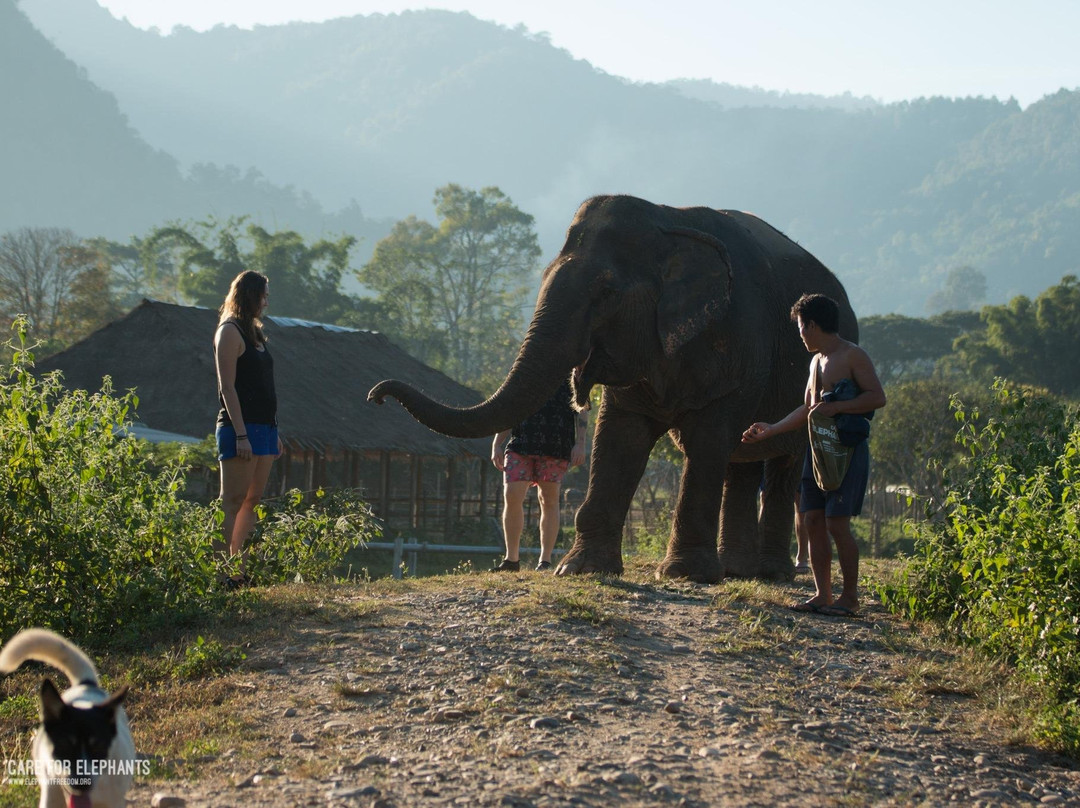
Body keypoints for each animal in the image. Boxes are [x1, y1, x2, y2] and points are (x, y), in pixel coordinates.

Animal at [368, 195, 857, 583]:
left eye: (605, 292)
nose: (376, 395)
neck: (667, 219)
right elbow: (620, 437)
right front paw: (581, 569)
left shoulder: (739, 340)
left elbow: (708, 437)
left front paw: (684, 575)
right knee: (742, 463)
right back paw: (737, 570)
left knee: (781, 464)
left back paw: (770, 574)